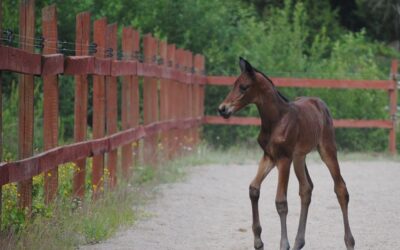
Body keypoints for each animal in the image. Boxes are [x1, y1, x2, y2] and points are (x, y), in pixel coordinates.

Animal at [219, 58, 356, 250]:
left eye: (244, 87)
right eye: (234, 85)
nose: (222, 109)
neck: (276, 120)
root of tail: (320, 103)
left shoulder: (284, 159)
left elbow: (281, 202)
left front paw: (284, 244)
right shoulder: (269, 157)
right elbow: (254, 189)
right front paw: (258, 241)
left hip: (327, 150)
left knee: (341, 189)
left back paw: (349, 242)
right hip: (299, 157)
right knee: (306, 189)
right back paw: (299, 242)